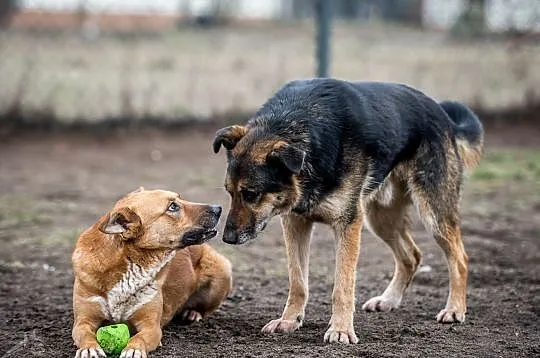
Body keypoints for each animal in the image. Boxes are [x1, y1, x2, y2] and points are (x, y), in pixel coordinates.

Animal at [71, 189, 232, 356]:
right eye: (172, 207)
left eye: (179, 199)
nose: (219, 208)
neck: (130, 263)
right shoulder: (83, 321)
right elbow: (84, 334)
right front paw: (89, 348)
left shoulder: (151, 327)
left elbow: (139, 338)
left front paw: (134, 349)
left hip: (222, 273)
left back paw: (193, 313)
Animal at [213, 79, 484, 344]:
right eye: (229, 192)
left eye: (251, 194)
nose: (227, 238)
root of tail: (441, 113)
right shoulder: (295, 223)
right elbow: (297, 281)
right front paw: (290, 320)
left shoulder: (348, 223)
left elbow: (342, 287)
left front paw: (341, 330)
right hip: (379, 218)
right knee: (412, 256)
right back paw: (389, 300)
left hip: (432, 212)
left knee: (460, 258)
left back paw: (454, 309)